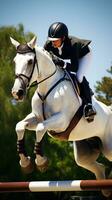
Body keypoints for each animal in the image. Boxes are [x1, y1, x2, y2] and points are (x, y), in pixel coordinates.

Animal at [10, 36, 112, 196]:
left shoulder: (61, 121)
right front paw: (25, 163)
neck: (46, 88)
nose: (17, 93)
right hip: (84, 154)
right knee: (99, 168)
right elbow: (20, 126)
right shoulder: (36, 118)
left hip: (109, 148)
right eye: (15, 61)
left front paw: (41, 162)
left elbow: (40, 128)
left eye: (30, 61)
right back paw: (106, 190)